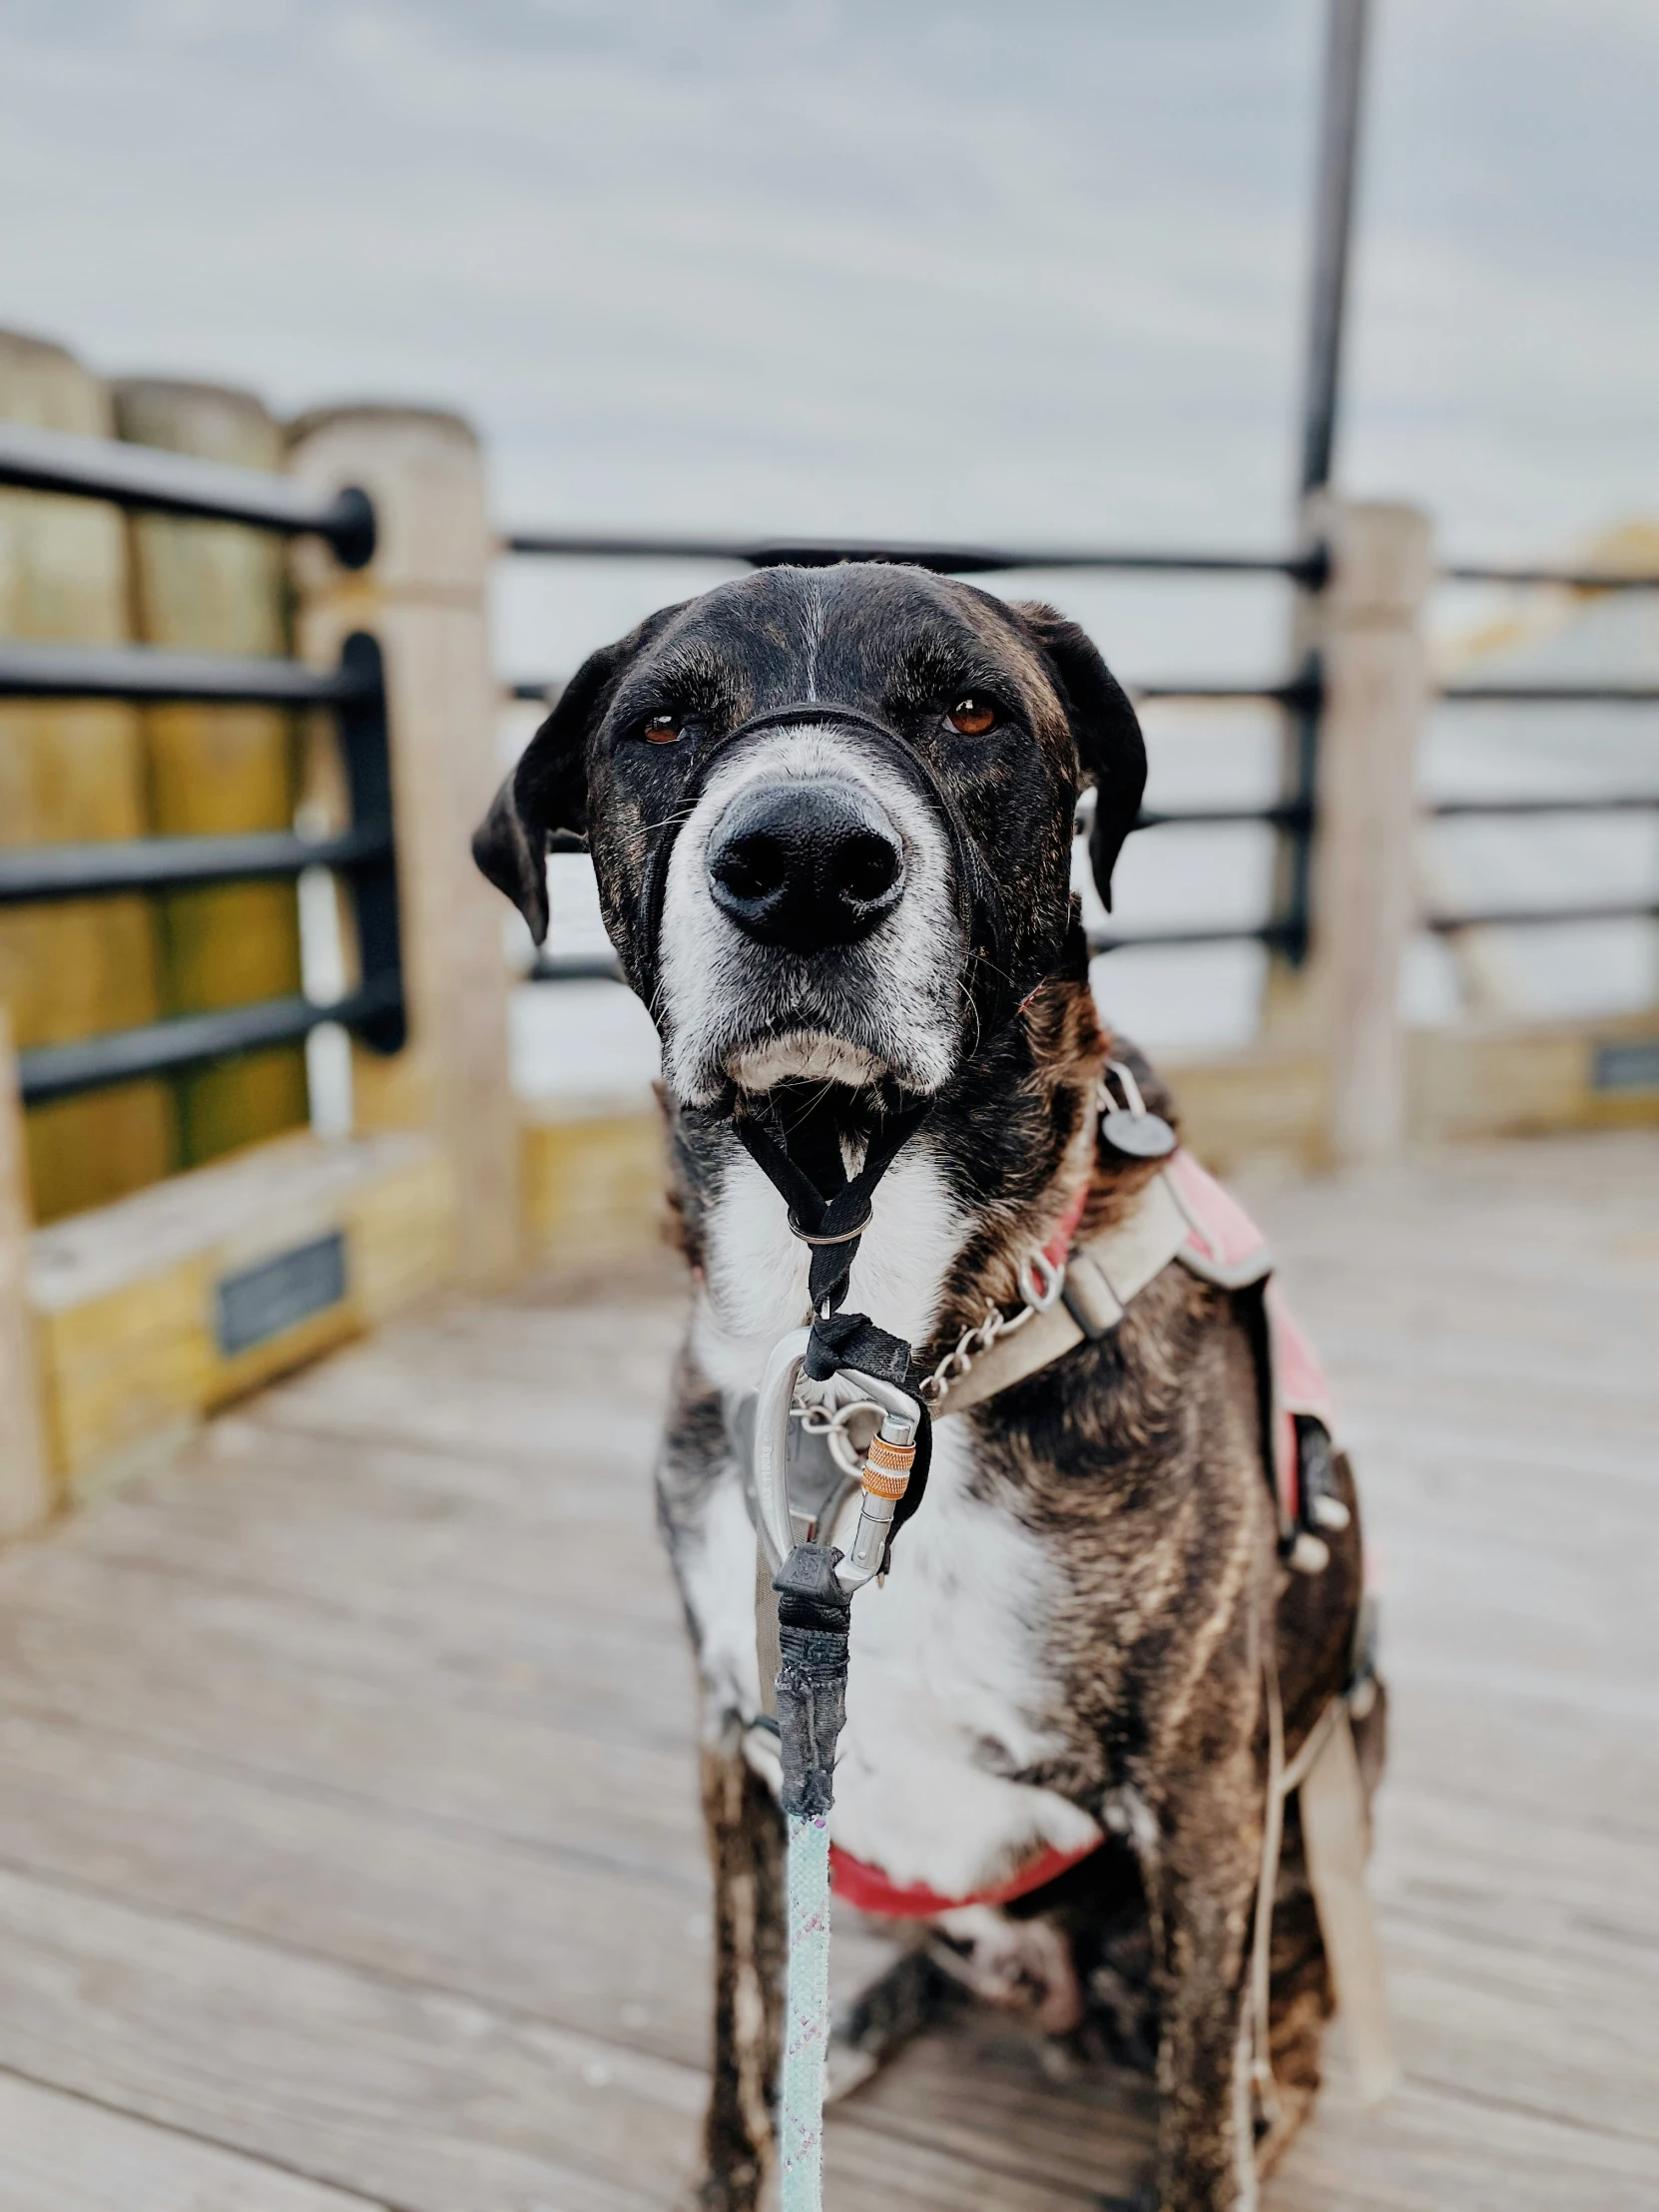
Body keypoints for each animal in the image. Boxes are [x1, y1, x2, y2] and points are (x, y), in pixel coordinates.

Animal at [479, 566, 1388, 2212]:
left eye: (969, 710)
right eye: (661, 723)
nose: (802, 861)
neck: (877, 1342)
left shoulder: (1209, 1806)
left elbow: (1199, 2126)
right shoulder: (737, 1744)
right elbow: (740, 2047)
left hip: (1280, 1895)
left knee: (1257, 2072)